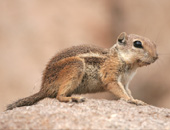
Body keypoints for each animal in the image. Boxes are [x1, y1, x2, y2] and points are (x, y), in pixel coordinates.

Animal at [6, 32, 158, 110]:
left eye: (154, 44)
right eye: (137, 44)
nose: (156, 57)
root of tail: (44, 87)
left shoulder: (126, 82)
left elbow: (127, 91)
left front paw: (137, 100)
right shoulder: (110, 72)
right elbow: (116, 87)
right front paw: (131, 100)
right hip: (76, 65)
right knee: (59, 96)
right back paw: (73, 98)